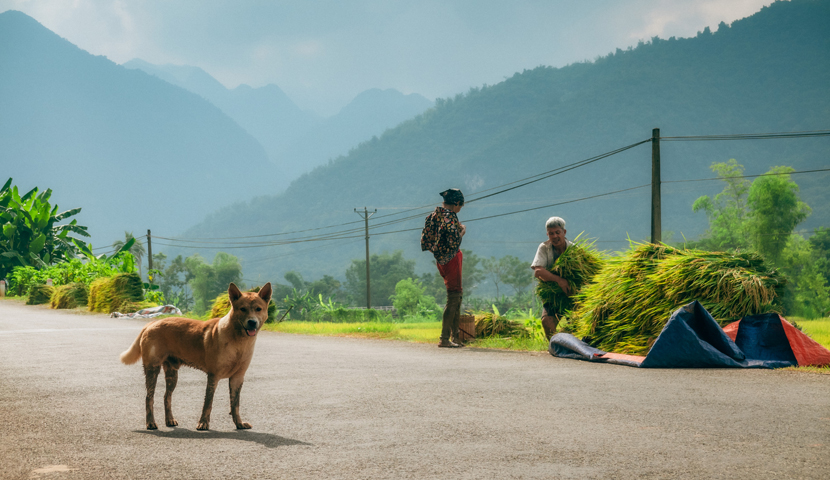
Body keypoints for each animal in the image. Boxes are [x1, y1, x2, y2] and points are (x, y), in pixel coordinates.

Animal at [119, 282, 272, 432]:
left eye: (258, 309)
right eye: (243, 309)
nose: (252, 322)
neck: (238, 341)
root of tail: (151, 324)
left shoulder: (237, 378)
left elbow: (235, 405)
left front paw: (239, 423)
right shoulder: (213, 376)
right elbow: (208, 403)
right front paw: (203, 423)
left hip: (172, 375)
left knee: (166, 397)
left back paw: (169, 420)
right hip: (153, 369)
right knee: (149, 398)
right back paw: (150, 423)